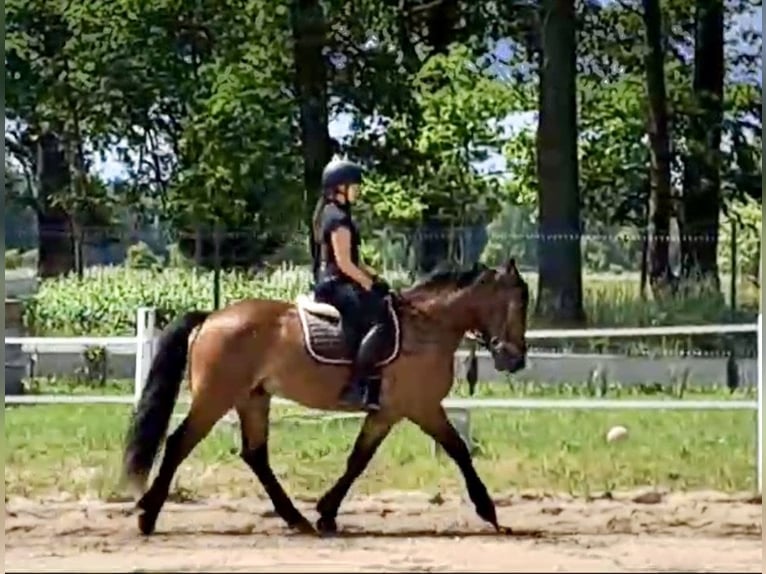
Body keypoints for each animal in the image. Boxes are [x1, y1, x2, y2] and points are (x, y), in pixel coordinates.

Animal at [122, 258, 530, 536]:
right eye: (517, 303)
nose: (515, 359)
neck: (427, 327)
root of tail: (211, 318)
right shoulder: (419, 407)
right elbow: (458, 450)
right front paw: (488, 511)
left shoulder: (387, 412)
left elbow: (358, 459)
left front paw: (327, 512)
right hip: (215, 398)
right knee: (179, 443)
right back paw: (147, 515)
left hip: (253, 398)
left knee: (255, 455)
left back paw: (296, 518)